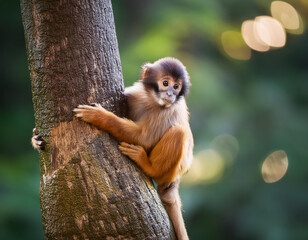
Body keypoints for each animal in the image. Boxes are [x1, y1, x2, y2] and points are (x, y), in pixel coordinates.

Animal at [32, 57, 194, 239]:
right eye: (166, 83)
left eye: (176, 87)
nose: (170, 94)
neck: (152, 100)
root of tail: (175, 180)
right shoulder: (133, 94)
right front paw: (36, 139)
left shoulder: (168, 109)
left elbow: (143, 139)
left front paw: (99, 116)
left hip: (170, 171)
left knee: (179, 132)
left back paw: (149, 167)